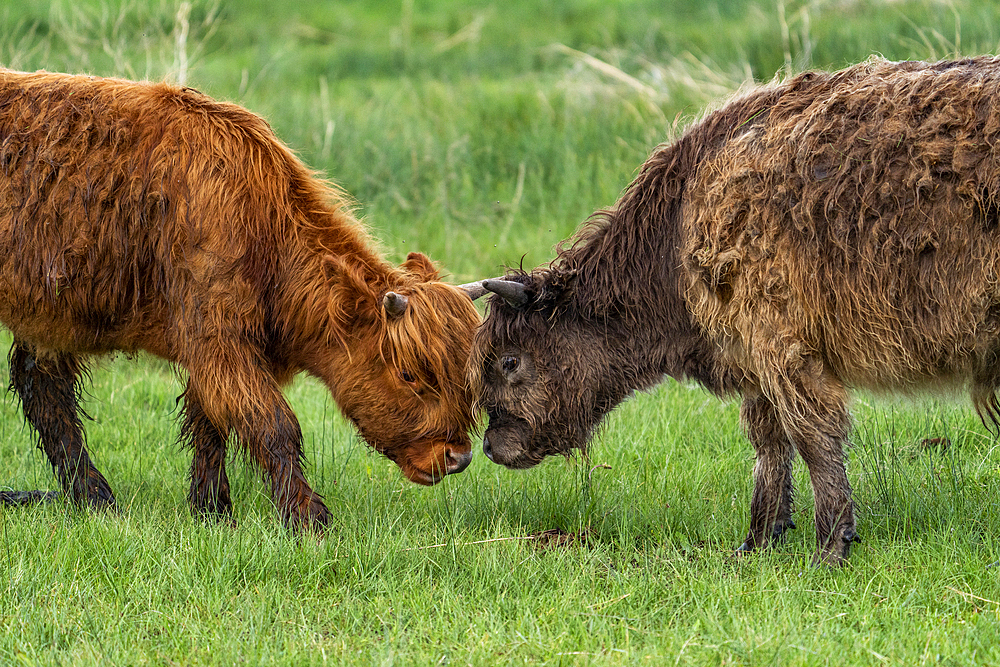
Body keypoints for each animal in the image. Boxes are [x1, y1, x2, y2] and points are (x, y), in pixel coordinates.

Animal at [0, 66, 484, 528]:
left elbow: (210, 426)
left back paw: (95, 500)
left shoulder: (213, 353)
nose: (457, 457)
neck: (262, 224)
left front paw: (211, 510)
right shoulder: (219, 340)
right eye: (408, 374)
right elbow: (275, 426)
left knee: (43, 392)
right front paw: (308, 518)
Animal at [472, 57, 1000, 568]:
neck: (677, 232)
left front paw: (830, 548)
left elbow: (813, 440)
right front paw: (757, 542)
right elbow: (769, 444)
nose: (491, 445)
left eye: (510, 361)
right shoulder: (754, 360)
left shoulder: (783, 349)